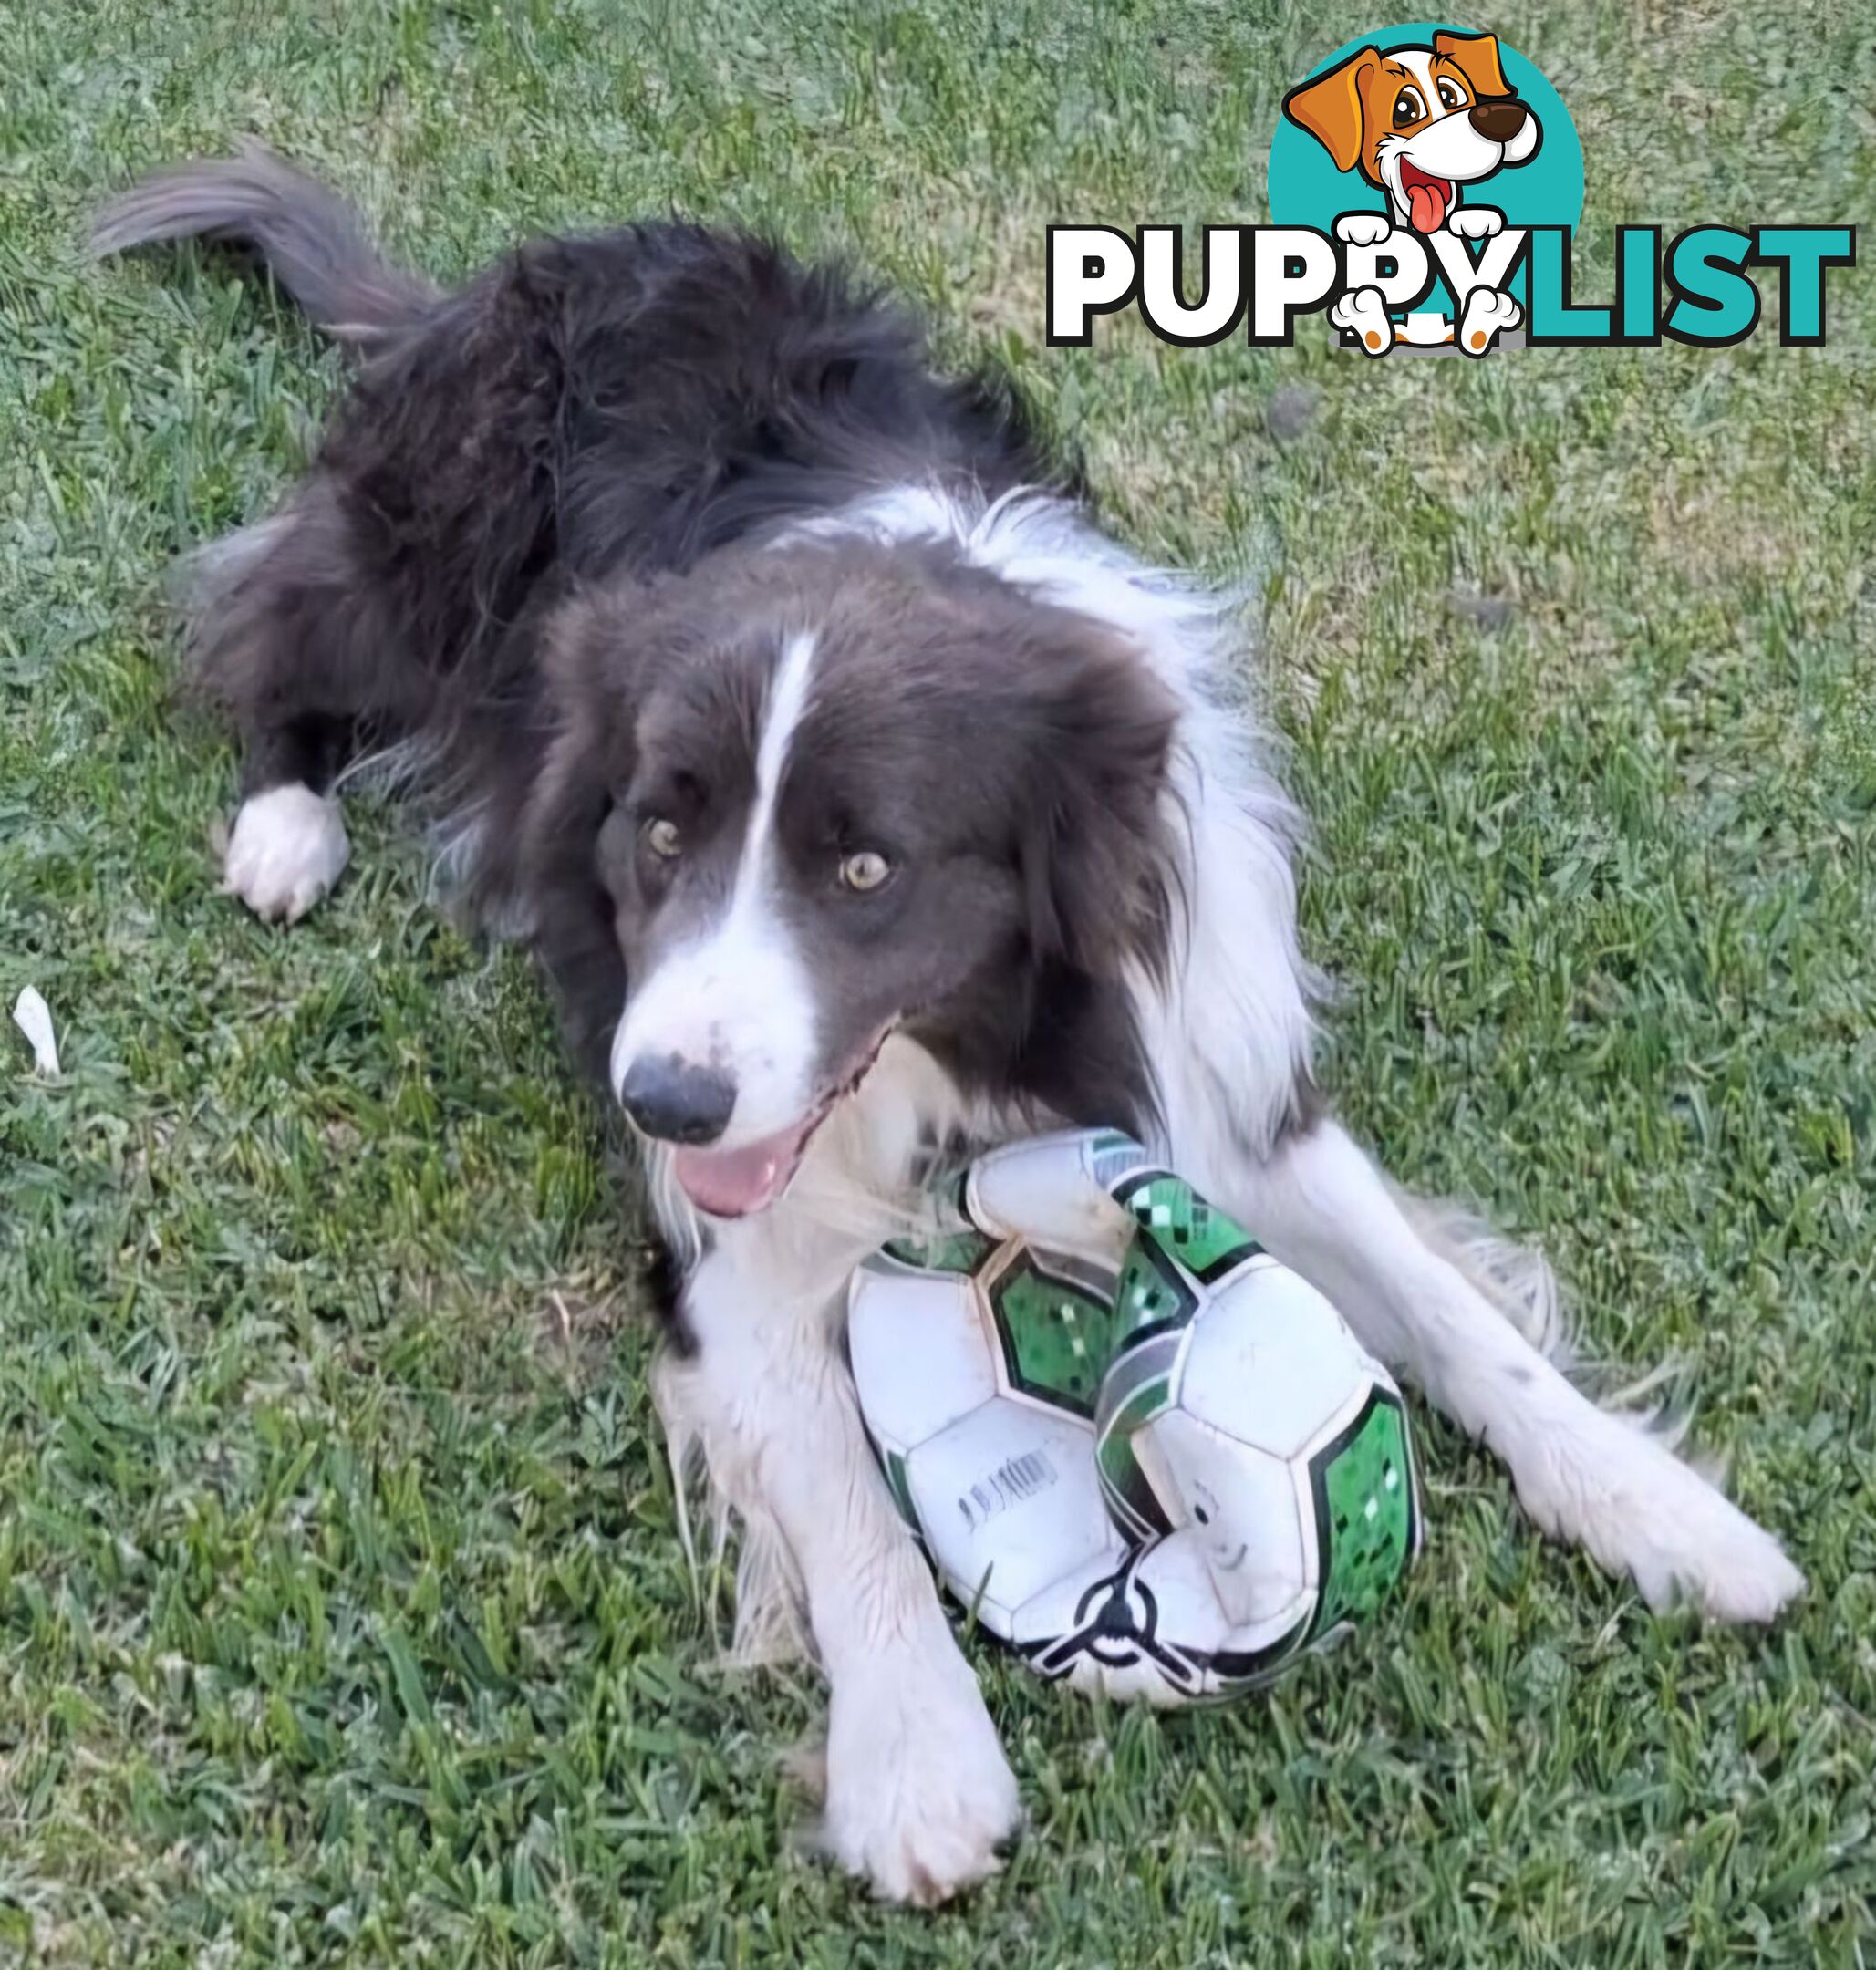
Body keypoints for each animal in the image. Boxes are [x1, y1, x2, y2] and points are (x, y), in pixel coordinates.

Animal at [98, 145, 1805, 1899]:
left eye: (866, 868)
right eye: (659, 831)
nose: (664, 1105)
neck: (974, 1052)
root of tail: (494, 284)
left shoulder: (1213, 1056)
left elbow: (1456, 1316)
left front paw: (1661, 1509)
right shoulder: (719, 1226)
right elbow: (841, 1476)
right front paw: (918, 1763)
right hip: (435, 540)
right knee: (276, 630)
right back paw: (284, 825)